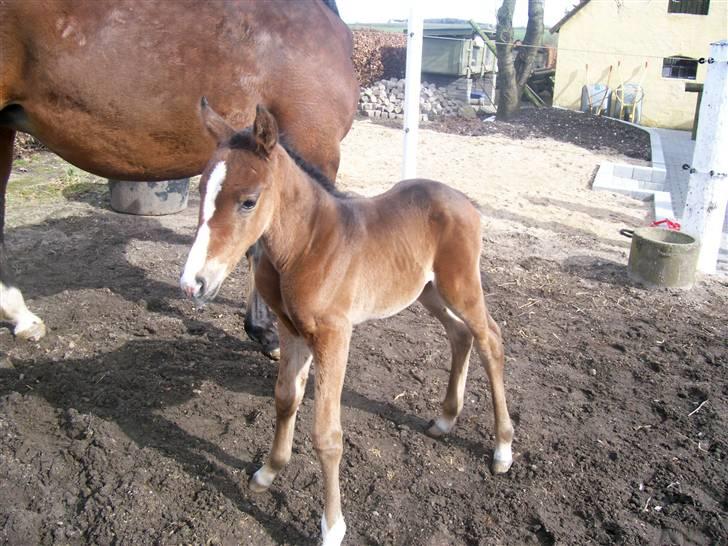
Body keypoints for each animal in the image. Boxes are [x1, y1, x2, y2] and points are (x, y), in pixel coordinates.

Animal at [180, 103, 516, 544]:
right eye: (202, 190)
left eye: (248, 201)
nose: (193, 283)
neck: (305, 246)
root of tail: (464, 201)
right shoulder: (291, 330)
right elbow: (285, 398)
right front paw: (268, 472)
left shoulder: (334, 335)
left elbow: (327, 435)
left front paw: (332, 527)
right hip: (426, 290)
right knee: (459, 334)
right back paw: (444, 420)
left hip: (460, 286)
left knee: (490, 338)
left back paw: (503, 450)